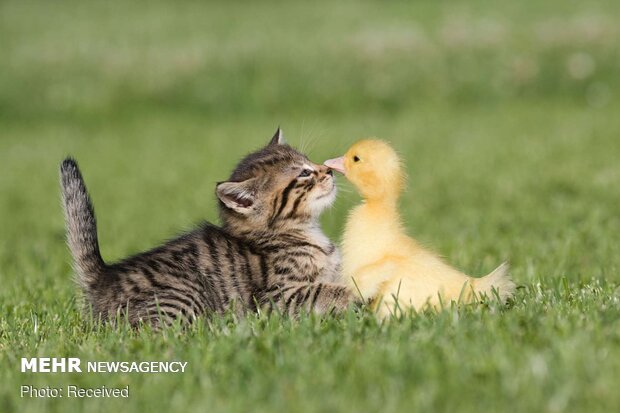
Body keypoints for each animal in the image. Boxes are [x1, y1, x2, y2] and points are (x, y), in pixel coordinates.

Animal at [60, 129, 352, 326]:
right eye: (304, 173)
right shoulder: (276, 298)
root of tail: (104, 277)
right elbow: (327, 290)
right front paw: (357, 297)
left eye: (310, 161)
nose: (328, 170)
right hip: (184, 296)